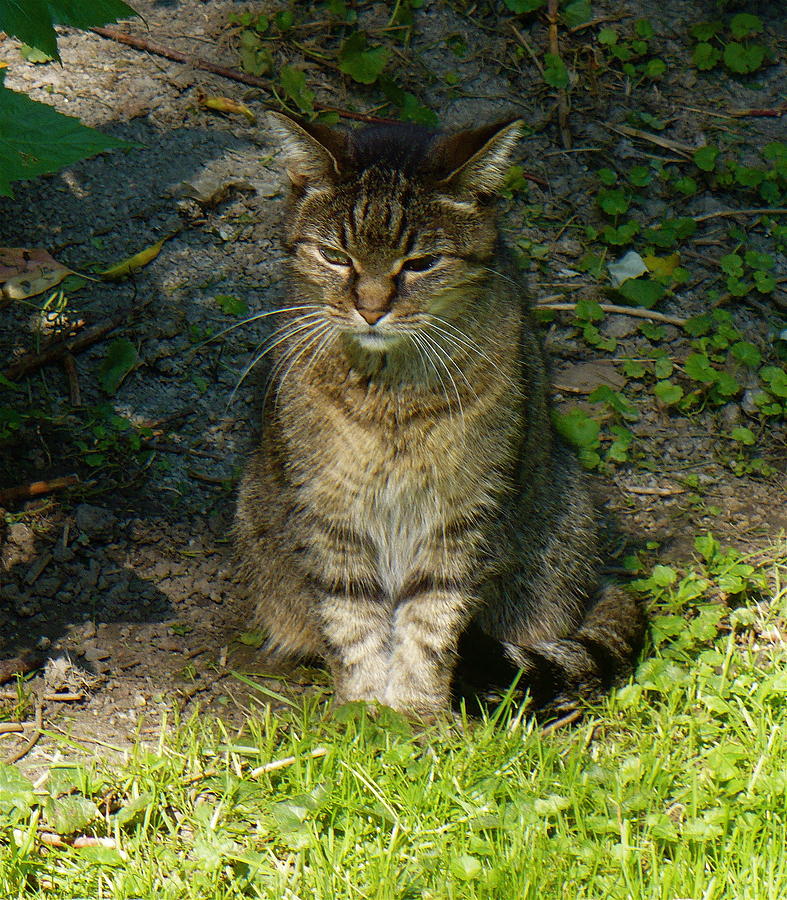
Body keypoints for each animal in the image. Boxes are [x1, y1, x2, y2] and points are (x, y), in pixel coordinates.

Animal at [235, 110, 648, 716]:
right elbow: (353, 620)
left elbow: (431, 620)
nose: (371, 309)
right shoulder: (329, 510)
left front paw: (416, 713)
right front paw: (364, 712)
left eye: (421, 264)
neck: (389, 397)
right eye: (336, 257)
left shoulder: (465, 510)